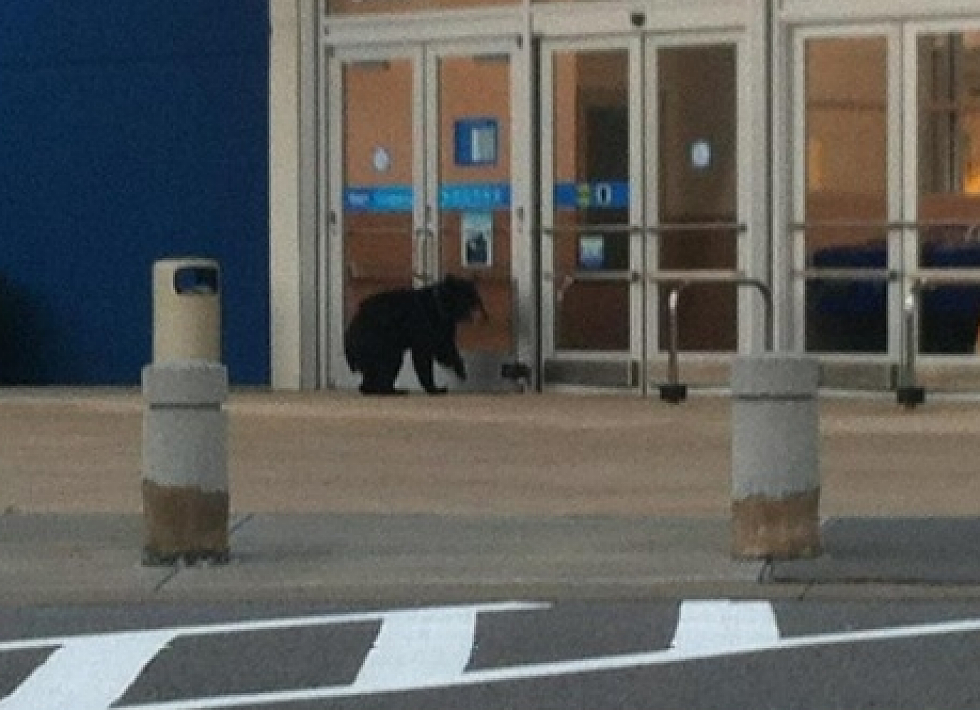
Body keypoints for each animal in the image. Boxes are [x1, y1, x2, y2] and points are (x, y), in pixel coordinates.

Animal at [344, 276, 490, 394]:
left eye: (477, 300)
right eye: (470, 299)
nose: (484, 316)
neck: (439, 307)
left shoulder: (442, 332)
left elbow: (445, 350)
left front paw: (460, 369)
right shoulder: (422, 331)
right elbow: (424, 359)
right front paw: (434, 389)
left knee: (371, 375)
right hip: (378, 344)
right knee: (388, 364)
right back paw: (390, 390)